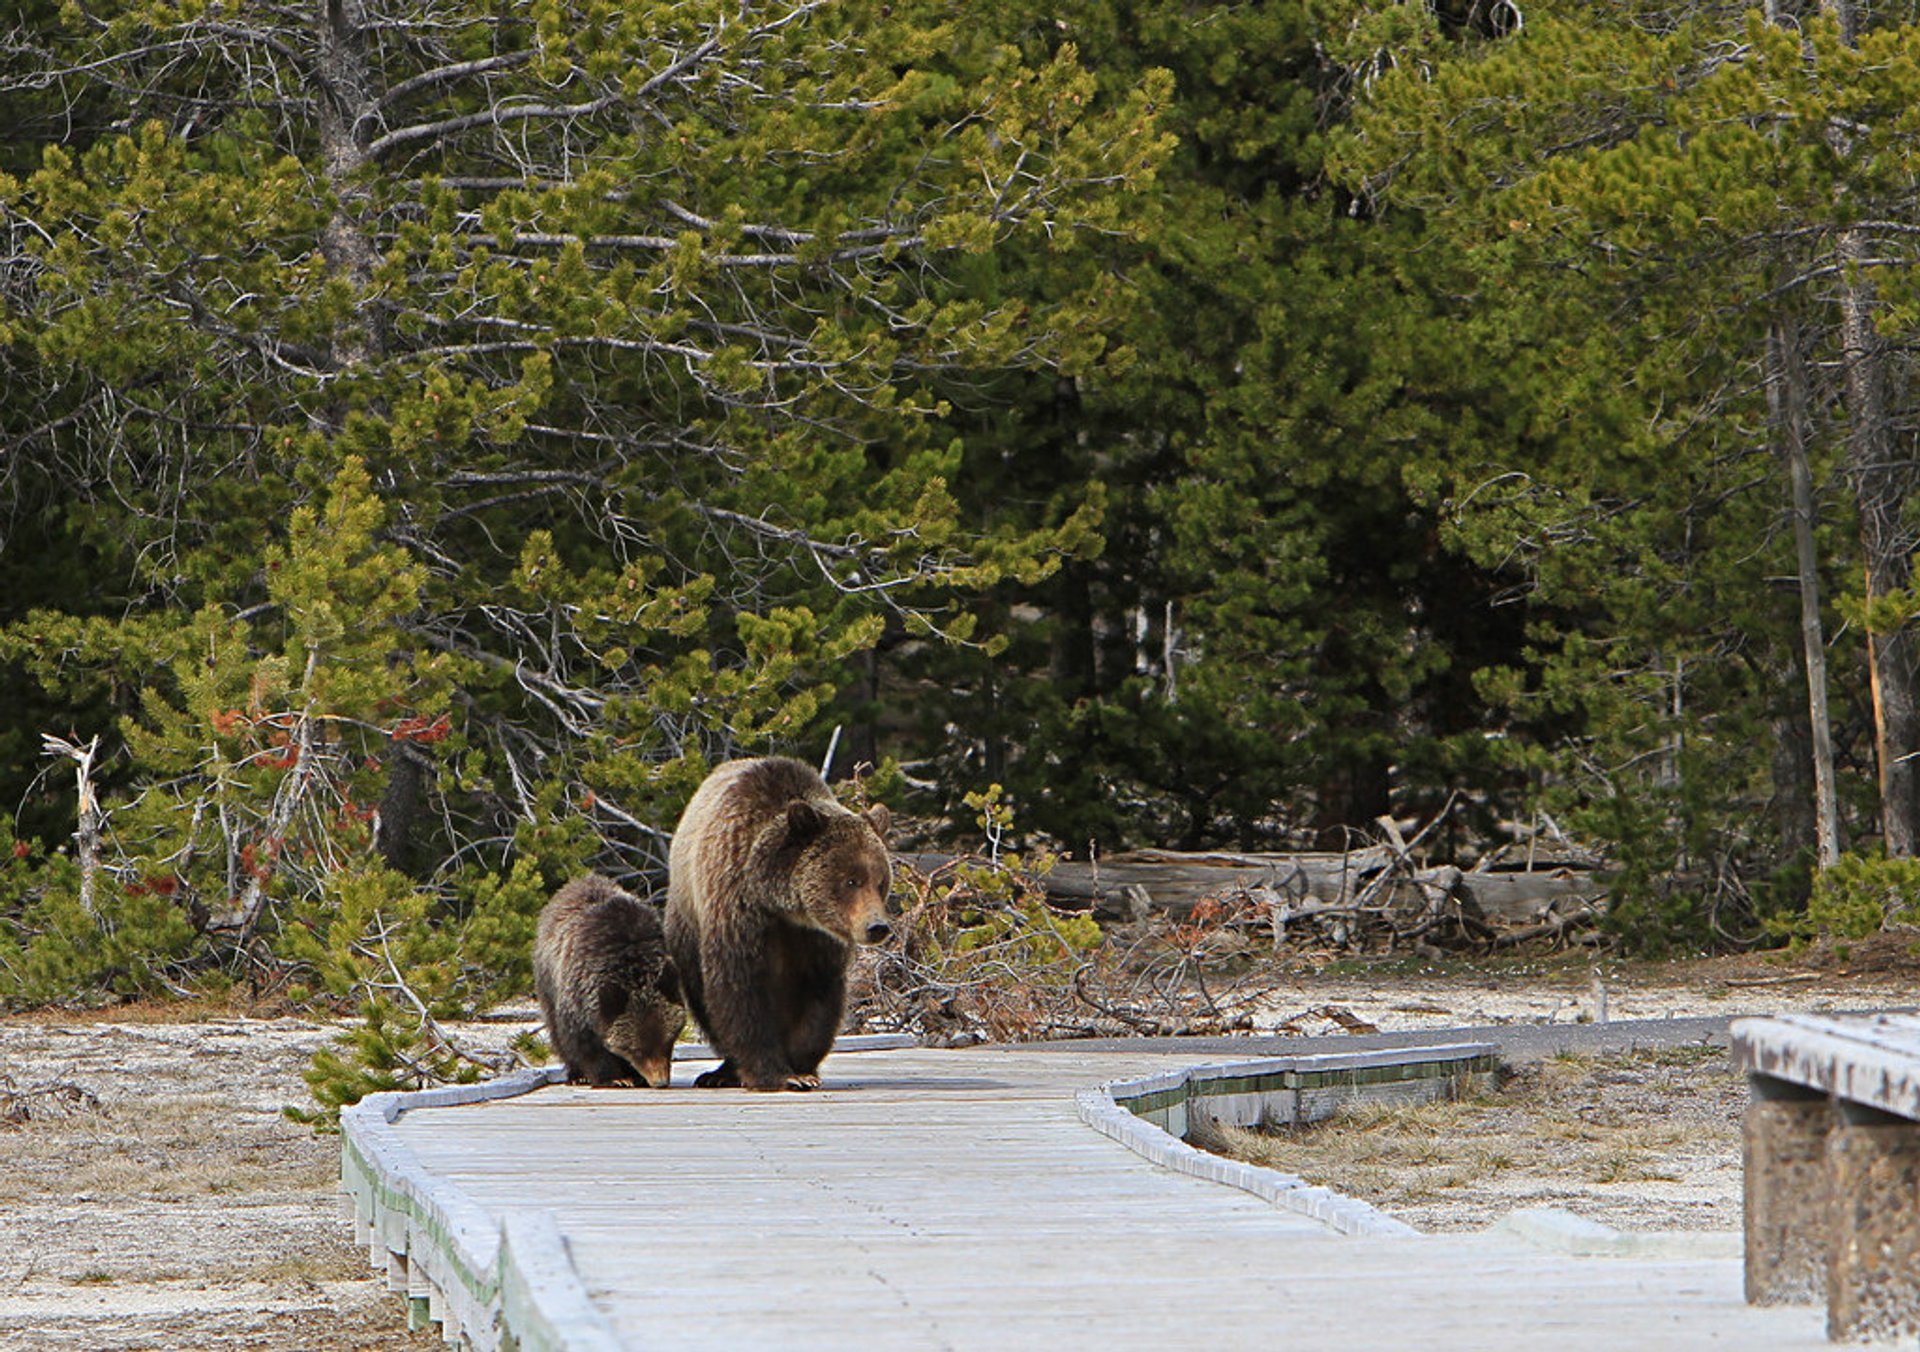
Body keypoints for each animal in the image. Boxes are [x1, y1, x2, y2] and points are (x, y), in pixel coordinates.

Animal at [537, 875, 687, 1090]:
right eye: (637, 1050)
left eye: (668, 1042)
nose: (660, 1082)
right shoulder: (577, 995)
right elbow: (583, 1043)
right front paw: (615, 1077)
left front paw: (634, 1075)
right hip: (547, 981)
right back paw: (577, 1075)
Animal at [668, 756, 890, 1090]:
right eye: (851, 880)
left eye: (880, 881)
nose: (877, 926)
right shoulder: (737, 907)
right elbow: (740, 989)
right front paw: (778, 1074)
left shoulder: (816, 939)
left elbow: (820, 996)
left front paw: (802, 1067)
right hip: (686, 924)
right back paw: (720, 1072)